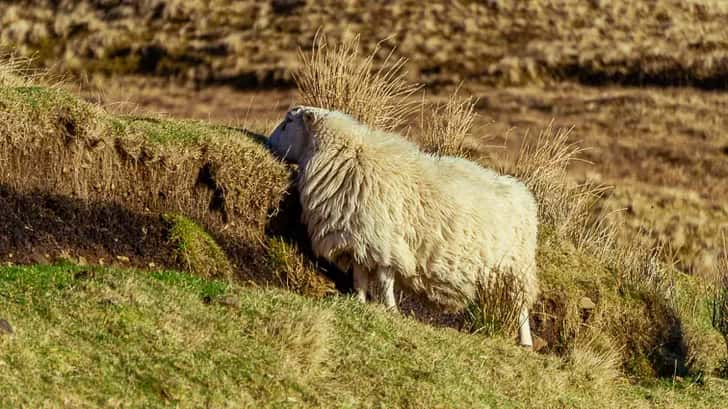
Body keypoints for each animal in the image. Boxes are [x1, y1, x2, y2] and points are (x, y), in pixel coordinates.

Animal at [268, 105, 540, 348]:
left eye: (288, 122)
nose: (268, 143)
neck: (346, 157)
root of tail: (523, 193)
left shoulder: (385, 242)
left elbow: (384, 280)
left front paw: (390, 310)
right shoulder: (359, 240)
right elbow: (360, 277)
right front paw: (360, 303)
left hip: (516, 270)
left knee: (520, 308)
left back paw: (525, 343)